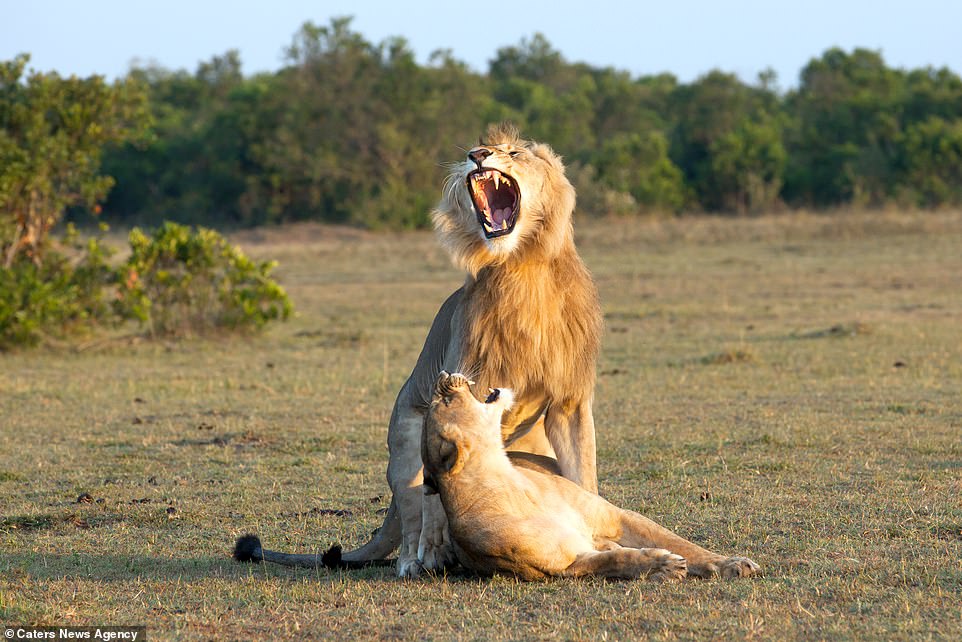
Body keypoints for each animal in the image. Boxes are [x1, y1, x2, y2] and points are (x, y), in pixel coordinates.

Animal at [235, 124, 600, 576]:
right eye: (480, 147)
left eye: (513, 152)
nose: (477, 155)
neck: (523, 267)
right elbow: (440, 492)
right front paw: (438, 546)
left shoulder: (570, 402)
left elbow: (584, 476)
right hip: (404, 452)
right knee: (415, 516)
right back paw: (419, 559)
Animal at [420, 370, 756, 580]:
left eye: (443, 400)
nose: (443, 375)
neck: (511, 485)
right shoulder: (566, 563)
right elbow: (615, 560)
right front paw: (662, 565)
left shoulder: (617, 517)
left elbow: (683, 544)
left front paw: (732, 563)